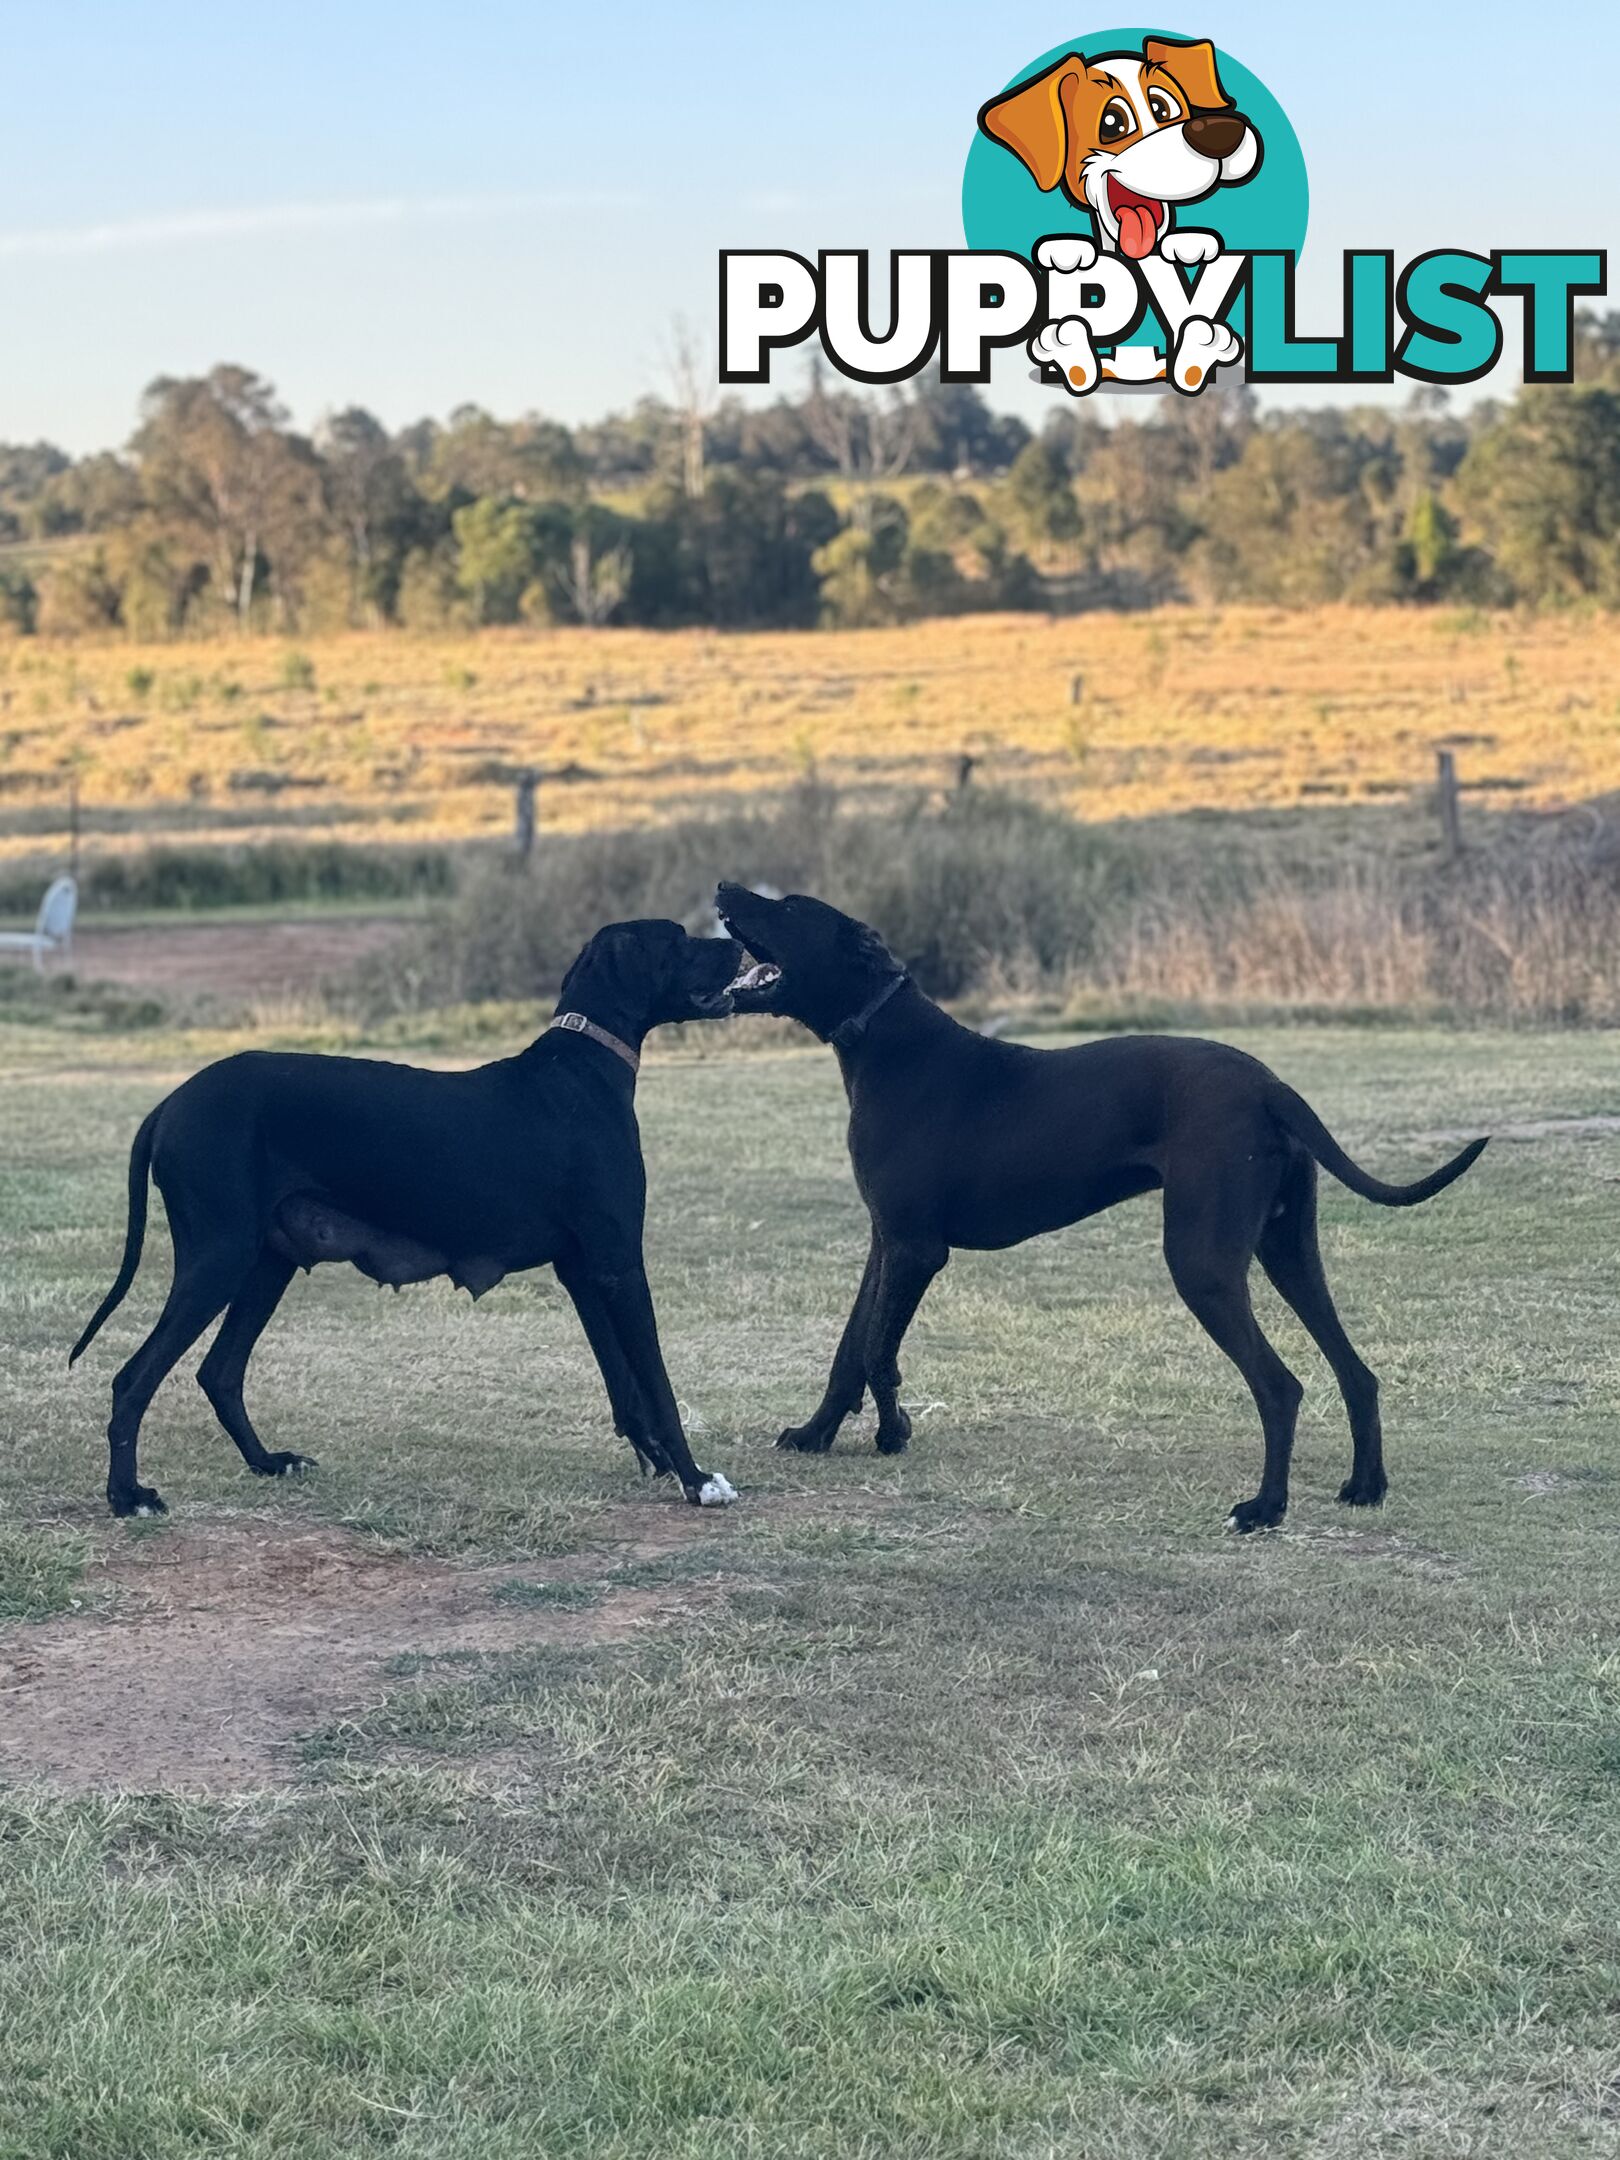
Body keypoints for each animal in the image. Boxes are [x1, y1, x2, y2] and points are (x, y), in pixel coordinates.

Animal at [72, 920, 760, 1512]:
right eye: (677, 939)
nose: (736, 942)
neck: (581, 1070)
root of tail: (169, 1103)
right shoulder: (620, 1266)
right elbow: (658, 1384)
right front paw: (697, 1480)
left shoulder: (585, 1272)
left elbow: (625, 1386)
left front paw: (659, 1462)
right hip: (220, 1258)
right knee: (133, 1379)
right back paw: (127, 1497)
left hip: (267, 1262)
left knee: (219, 1373)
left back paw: (266, 1462)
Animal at [717, 881, 1494, 1537]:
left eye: (790, 908)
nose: (724, 887)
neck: (883, 1039)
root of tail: (1271, 1085)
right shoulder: (886, 1240)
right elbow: (852, 1347)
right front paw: (817, 1434)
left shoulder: (915, 1248)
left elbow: (880, 1351)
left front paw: (892, 1430)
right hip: (1288, 1252)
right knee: (1357, 1373)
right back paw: (1366, 1486)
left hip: (1203, 1262)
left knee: (1280, 1386)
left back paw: (1264, 1507)